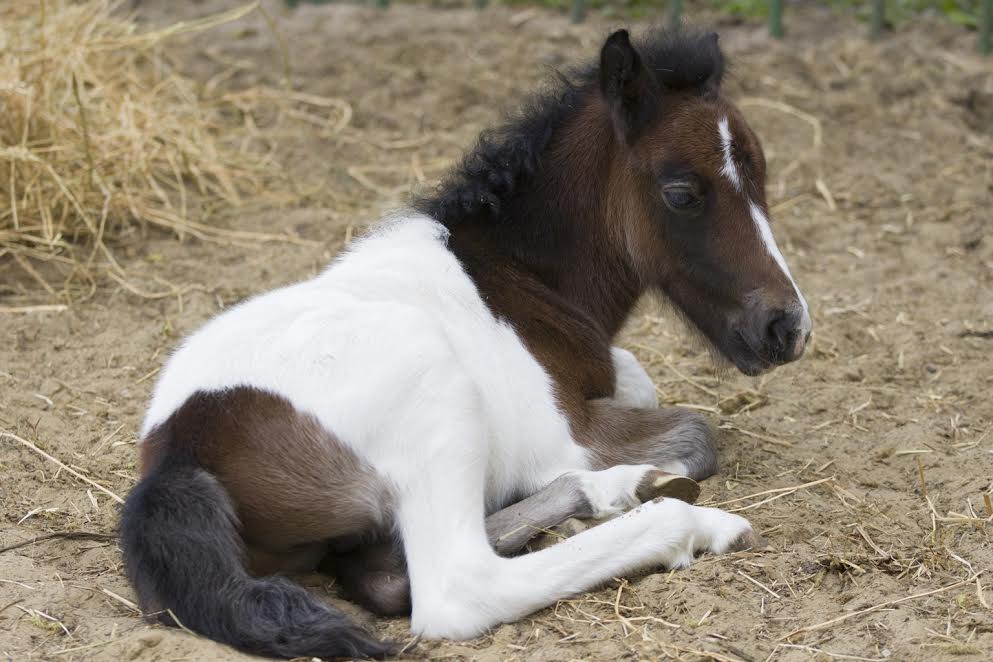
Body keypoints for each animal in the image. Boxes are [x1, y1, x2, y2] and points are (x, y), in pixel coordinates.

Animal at [120, 27, 811, 660]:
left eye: (762, 177)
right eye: (682, 193)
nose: (787, 328)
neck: (513, 283)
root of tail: (181, 449)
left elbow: (638, 378)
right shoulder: (561, 438)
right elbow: (696, 433)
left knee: (382, 572)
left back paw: (616, 491)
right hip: (435, 392)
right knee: (457, 589)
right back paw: (678, 514)